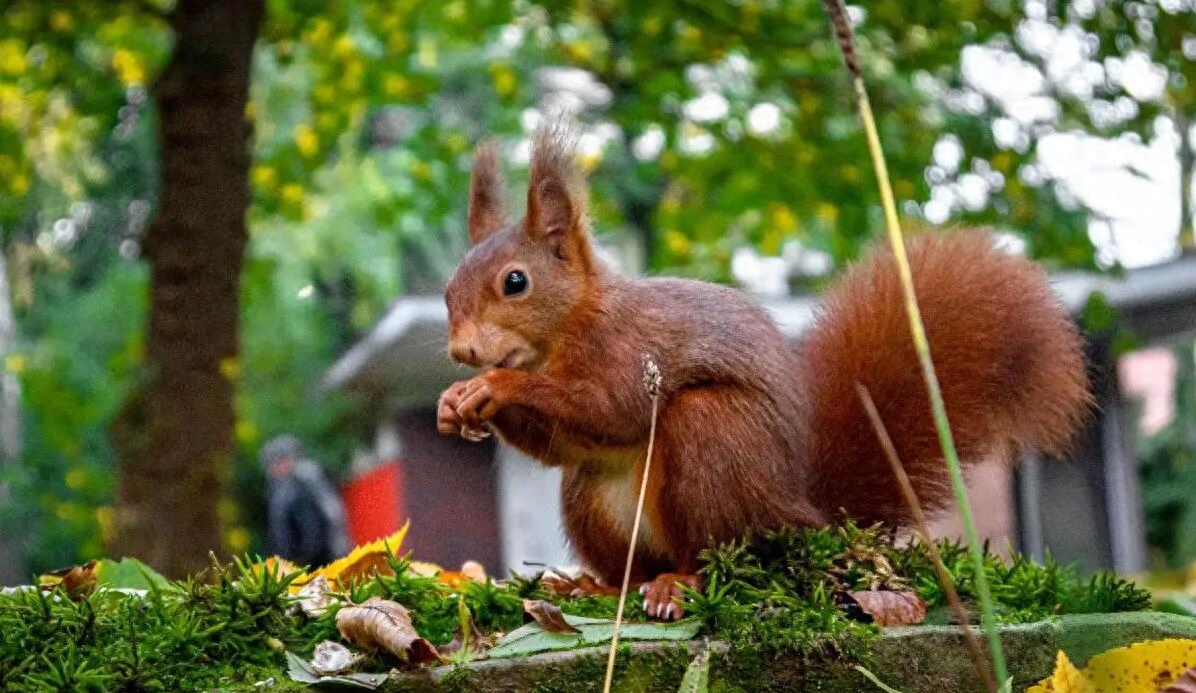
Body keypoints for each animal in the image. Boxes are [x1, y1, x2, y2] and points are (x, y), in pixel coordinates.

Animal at [440, 119, 1095, 617]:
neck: (569, 328)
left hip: (713, 439)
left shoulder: (631, 349)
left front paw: (496, 385)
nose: (462, 353)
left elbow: (612, 409)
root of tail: (798, 512)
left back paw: (679, 586)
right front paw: (454, 403)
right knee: (627, 555)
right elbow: (561, 444)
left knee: (718, 552)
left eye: (516, 282)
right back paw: (596, 585)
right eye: (447, 292)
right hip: (590, 496)